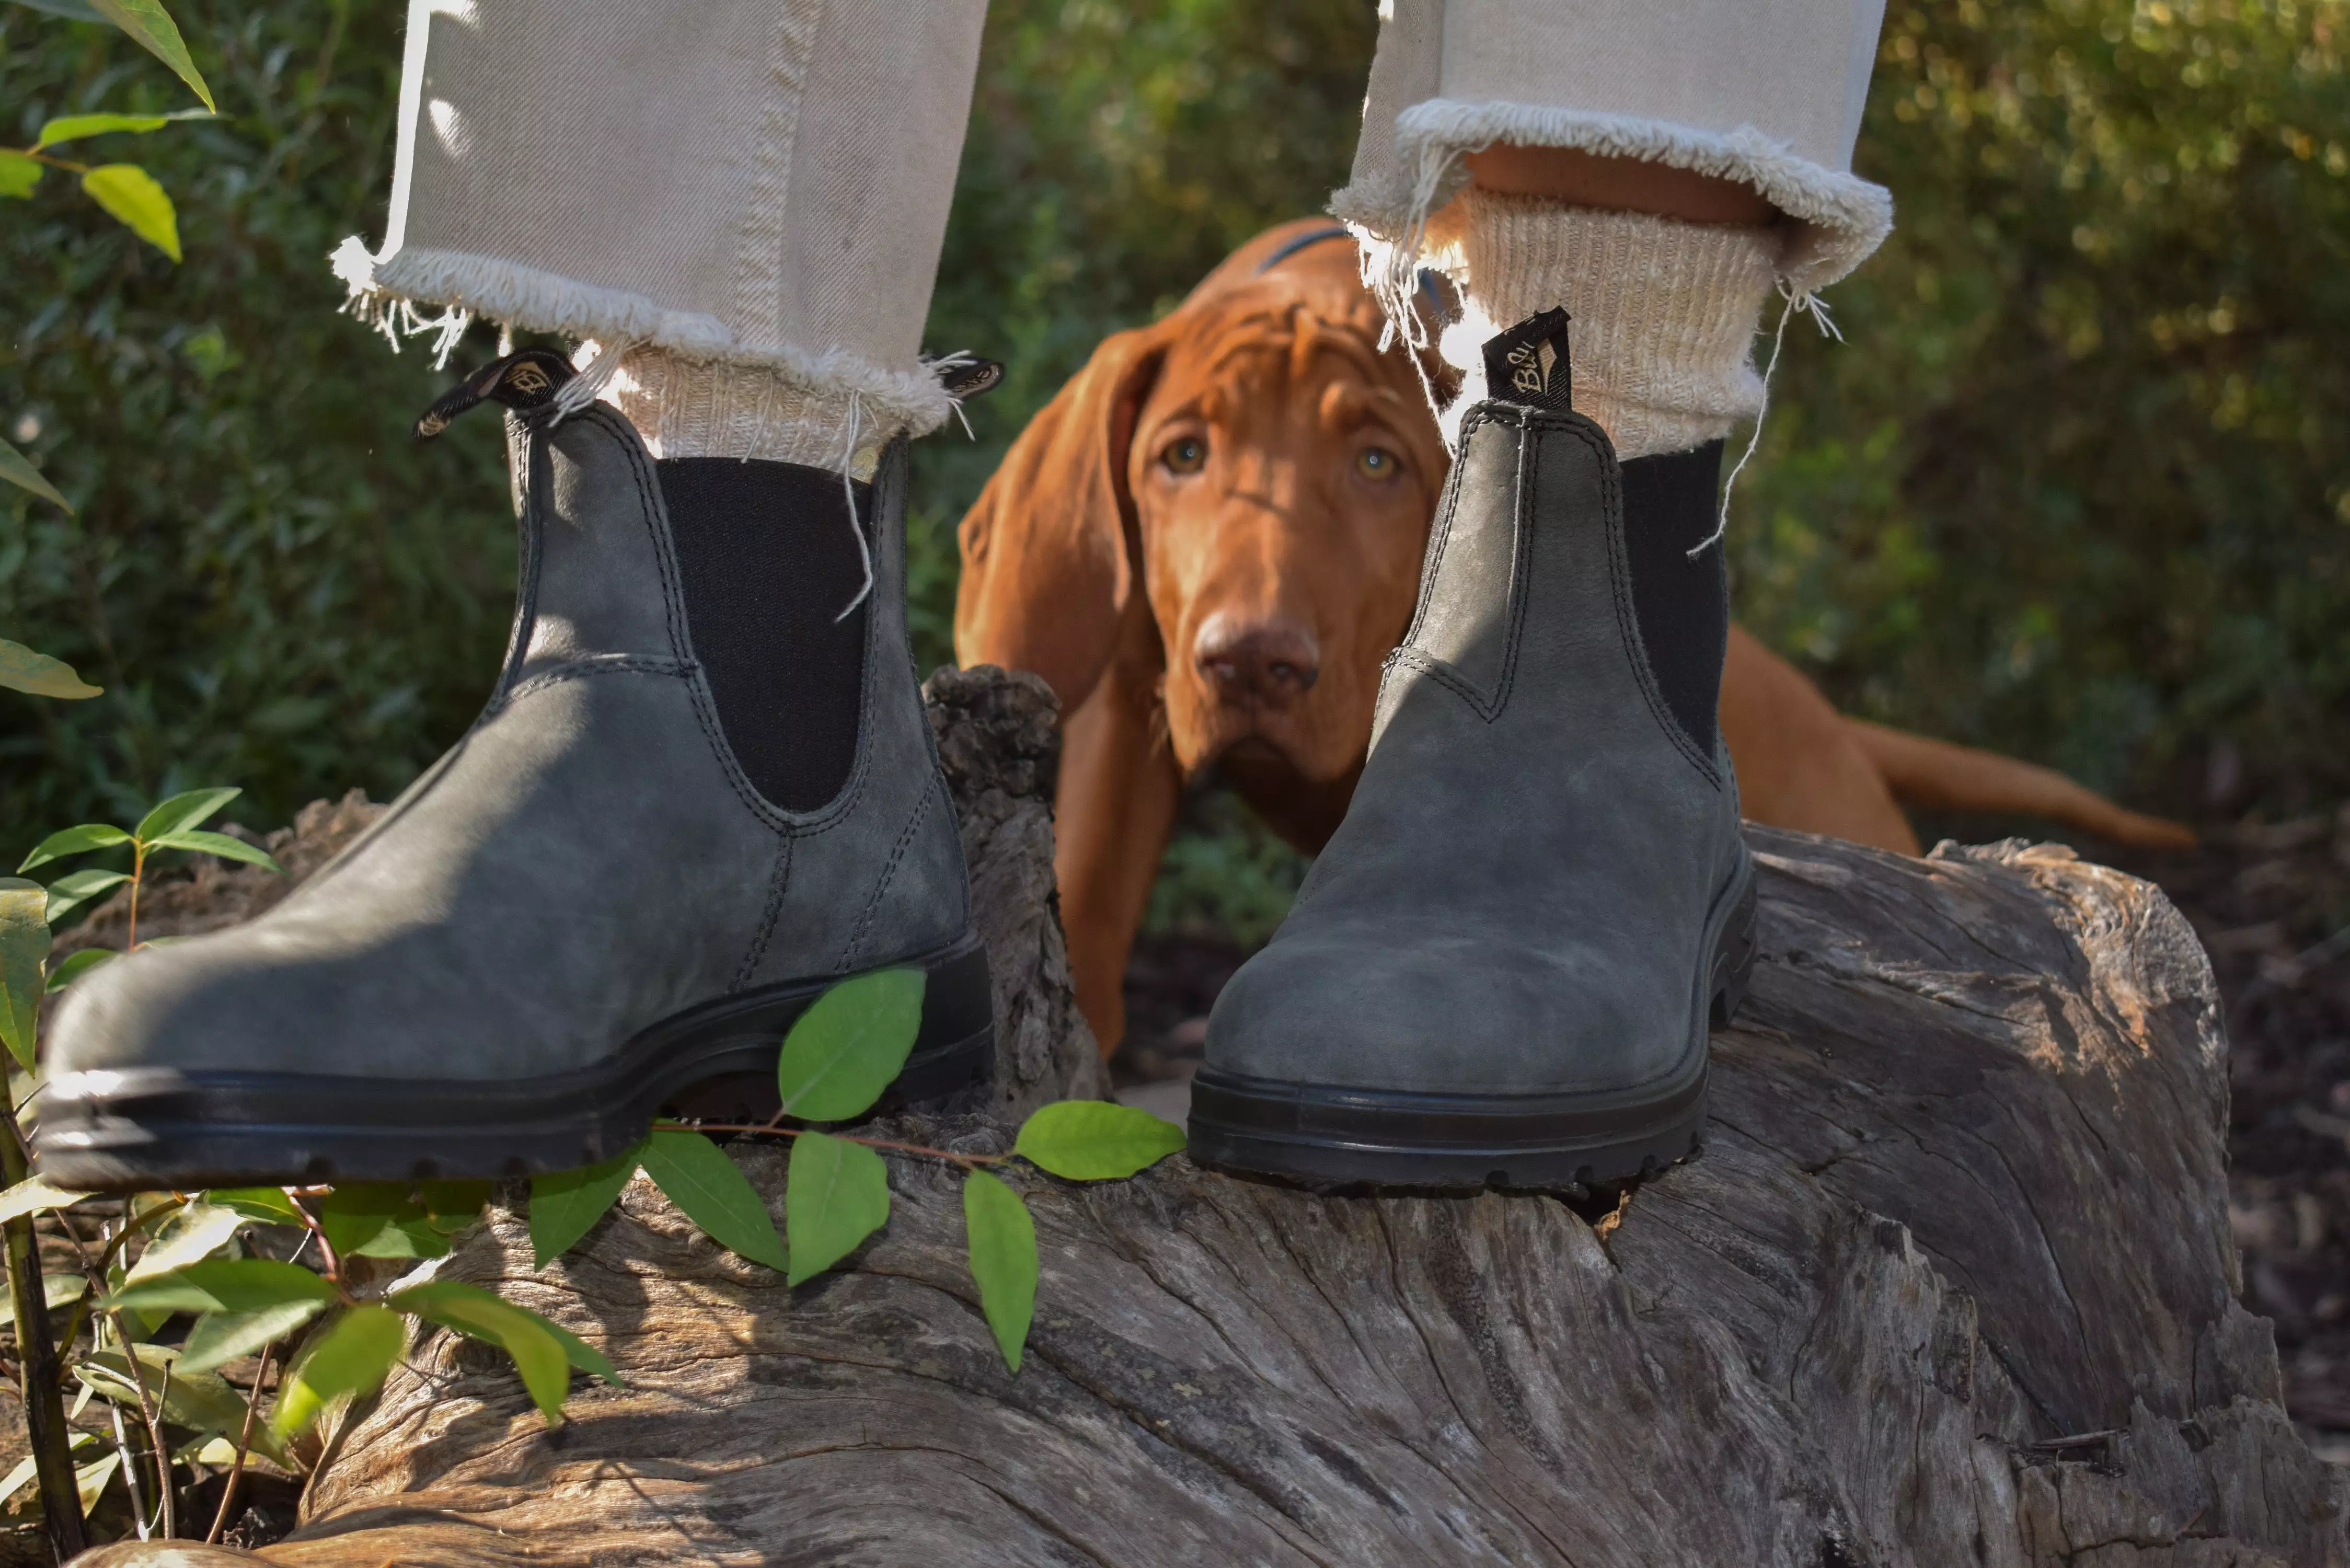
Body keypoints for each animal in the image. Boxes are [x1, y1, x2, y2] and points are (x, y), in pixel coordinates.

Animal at [949, 221, 2181, 1053]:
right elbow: (1088, 902)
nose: (1252, 662)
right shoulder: (1128, 702)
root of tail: (1838, 725)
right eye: (1182, 457)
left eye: (1378, 463)